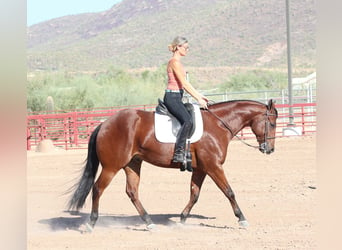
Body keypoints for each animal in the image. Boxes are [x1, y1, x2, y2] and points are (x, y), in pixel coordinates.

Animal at [67, 98, 278, 231]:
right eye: (273, 123)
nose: (269, 149)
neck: (218, 125)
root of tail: (104, 124)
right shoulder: (213, 167)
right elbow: (229, 192)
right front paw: (242, 219)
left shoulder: (201, 169)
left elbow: (194, 195)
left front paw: (182, 219)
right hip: (112, 167)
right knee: (97, 189)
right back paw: (91, 223)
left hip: (132, 164)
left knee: (132, 192)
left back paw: (149, 222)